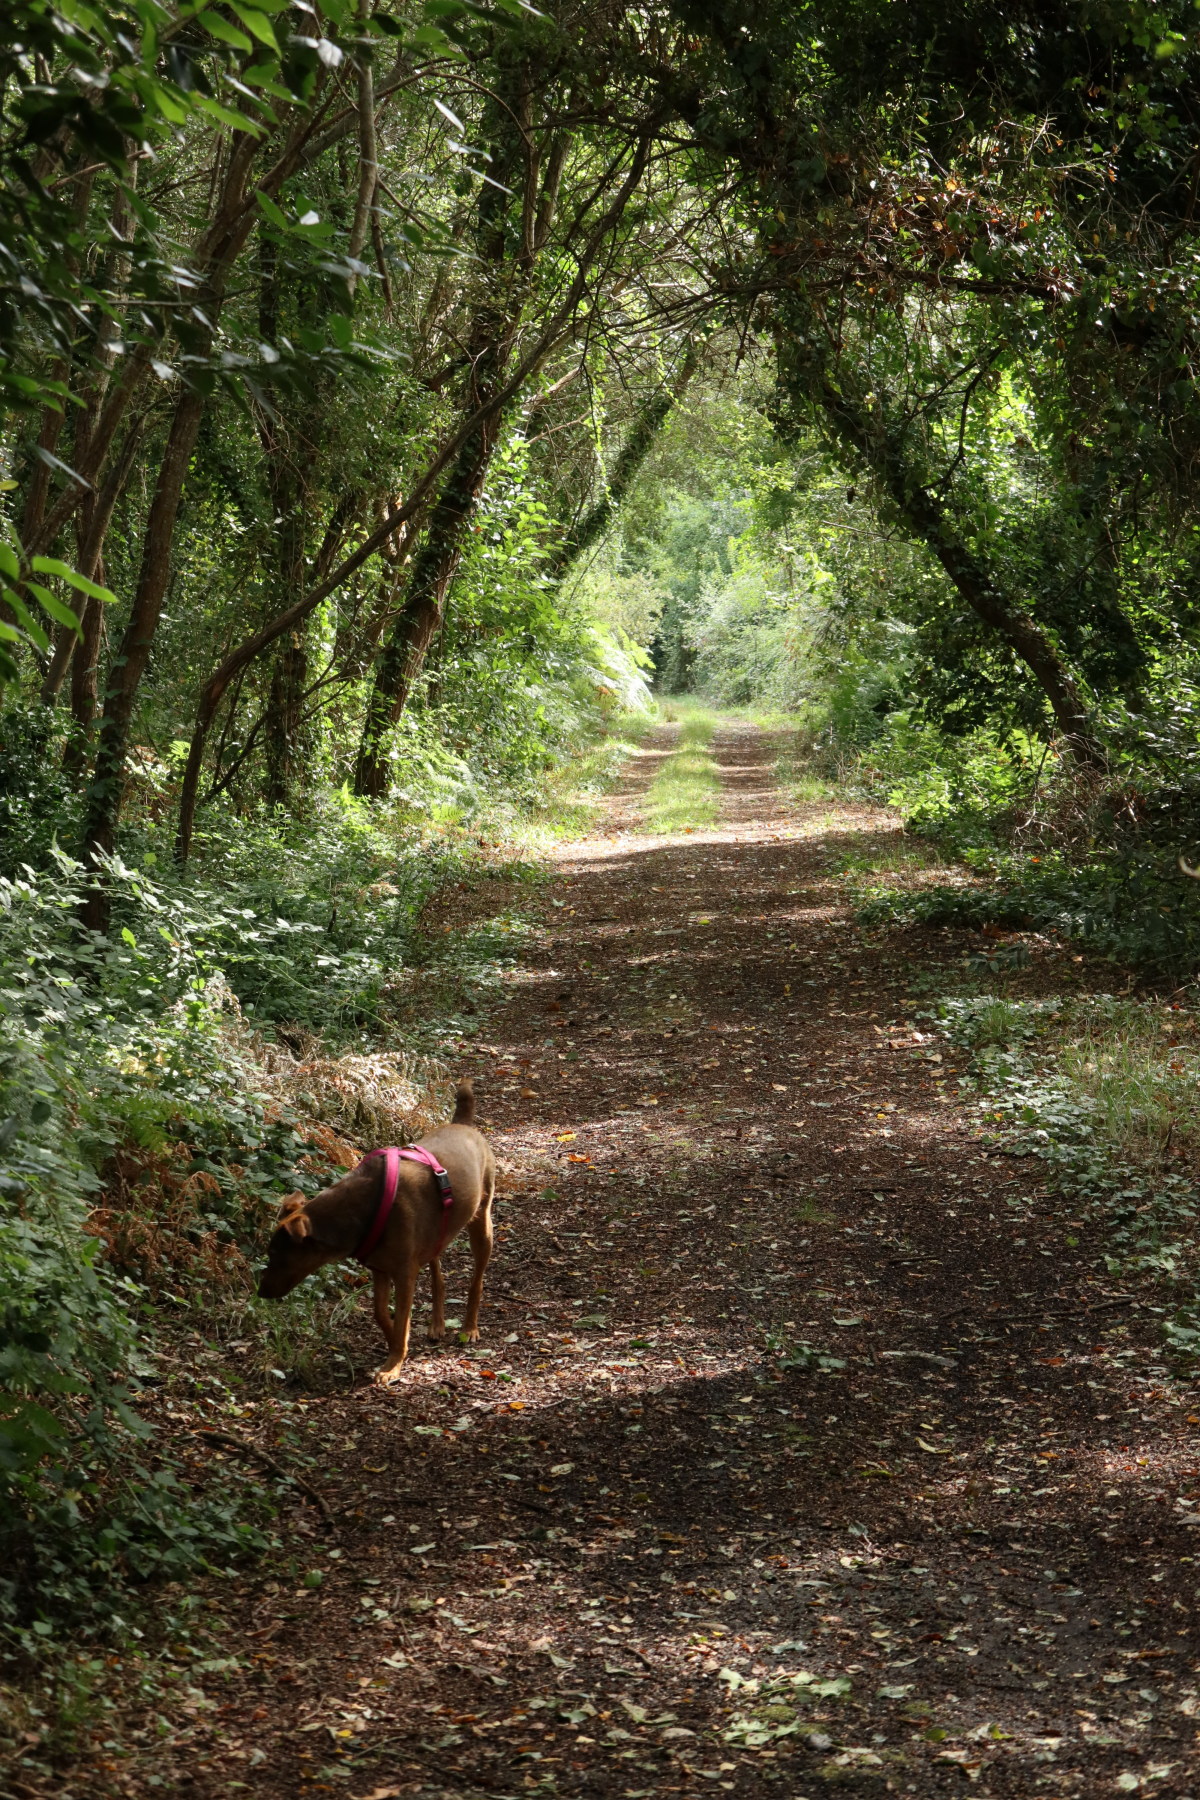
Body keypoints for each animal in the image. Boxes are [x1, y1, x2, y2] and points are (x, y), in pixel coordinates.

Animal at [255, 1072, 496, 1382]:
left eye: (276, 1255)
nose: (260, 1293)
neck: (360, 1211)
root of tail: (463, 1124)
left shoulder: (404, 1273)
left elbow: (402, 1317)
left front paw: (393, 1365)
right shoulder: (380, 1268)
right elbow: (381, 1313)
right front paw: (394, 1343)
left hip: (482, 1224)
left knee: (477, 1280)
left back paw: (469, 1328)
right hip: (436, 1234)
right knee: (438, 1274)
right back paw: (437, 1325)